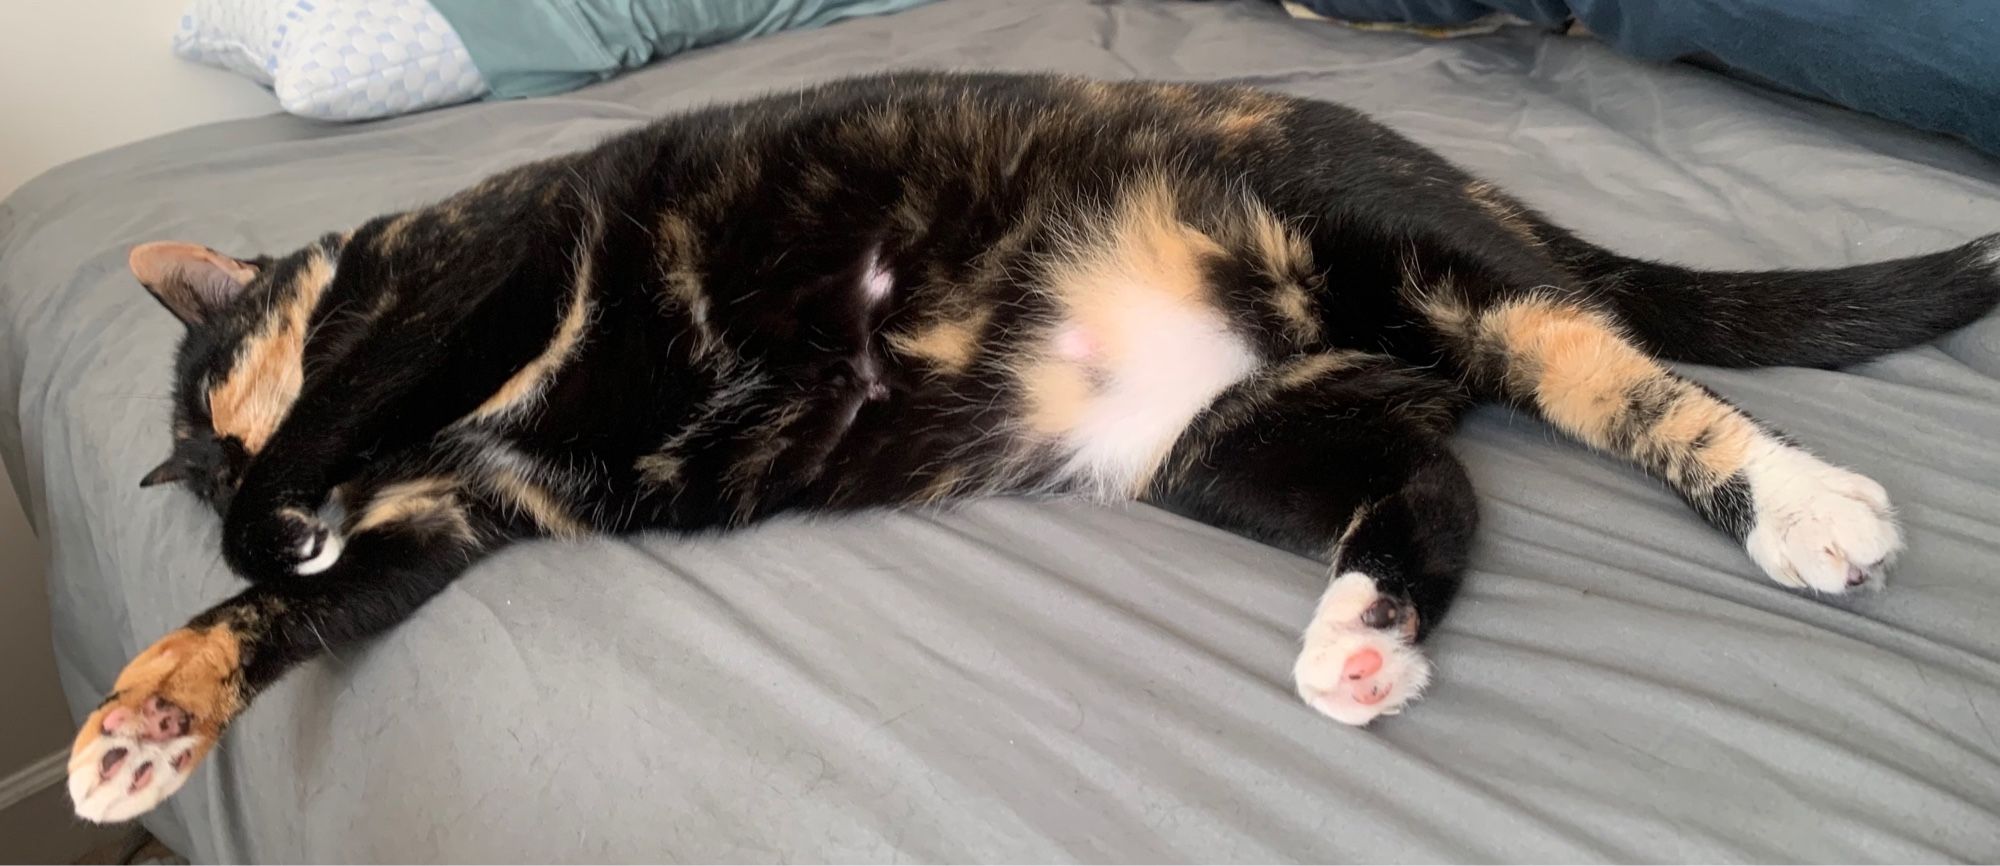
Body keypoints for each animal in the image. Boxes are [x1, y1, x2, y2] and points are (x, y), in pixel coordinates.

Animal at [66, 71, 2000, 820]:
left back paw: (1805, 503)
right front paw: (140, 721)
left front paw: (262, 523)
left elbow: (346, 403)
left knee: (1609, 365)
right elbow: (282, 620)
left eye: (221, 409)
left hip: (1407, 256)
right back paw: (1360, 641)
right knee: (1436, 480)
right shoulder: (452, 523)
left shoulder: (485, 273)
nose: (250, 495)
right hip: (1236, 436)